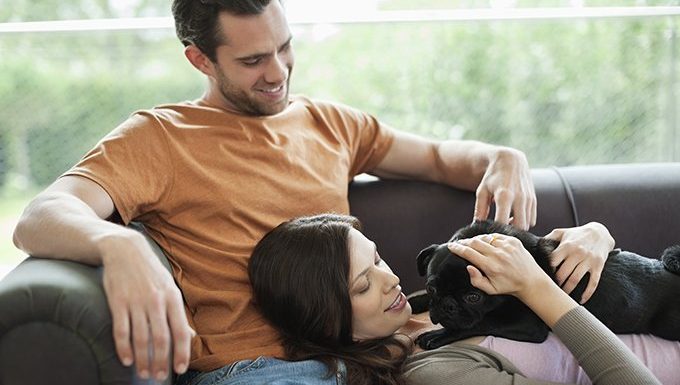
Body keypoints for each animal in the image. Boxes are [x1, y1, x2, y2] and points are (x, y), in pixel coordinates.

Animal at [414, 219, 680, 348]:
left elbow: (480, 323)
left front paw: (438, 335)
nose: (447, 306)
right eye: (431, 288)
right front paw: (414, 302)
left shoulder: (527, 325)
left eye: (473, 297)